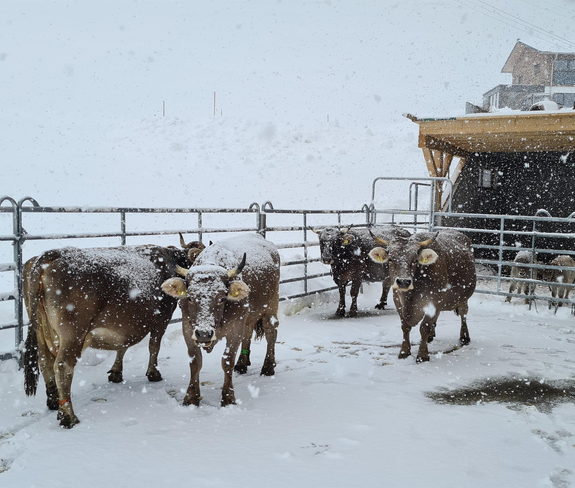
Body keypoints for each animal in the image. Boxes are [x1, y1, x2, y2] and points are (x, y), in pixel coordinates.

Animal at [23, 244, 190, 428]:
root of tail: (52, 254)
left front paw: (116, 373)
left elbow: (122, 347)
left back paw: (53, 401)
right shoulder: (162, 318)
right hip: (72, 333)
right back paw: (68, 416)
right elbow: (154, 346)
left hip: (40, 330)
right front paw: (153, 373)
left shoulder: (126, 326)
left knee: (43, 361)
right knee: (62, 366)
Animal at [161, 233, 280, 407]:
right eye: (190, 298)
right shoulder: (188, 329)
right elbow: (195, 362)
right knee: (248, 332)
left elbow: (227, 361)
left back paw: (268, 367)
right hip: (249, 316)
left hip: (270, 307)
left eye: (222, 298)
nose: (204, 334)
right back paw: (242, 363)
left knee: (271, 333)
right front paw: (191, 397)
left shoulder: (235, 329)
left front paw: (228, 397)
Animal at [368, 229, 476, 363]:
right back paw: (431, 336)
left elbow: (424, 328)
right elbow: (405, 327)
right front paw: (404, 352)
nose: (403, 282)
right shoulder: (398, 301)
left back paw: (464, 337)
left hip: (463, 298)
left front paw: (423, 355)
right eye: (391, 259)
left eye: (415, 260)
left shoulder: (435, 301)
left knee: (463, 313)